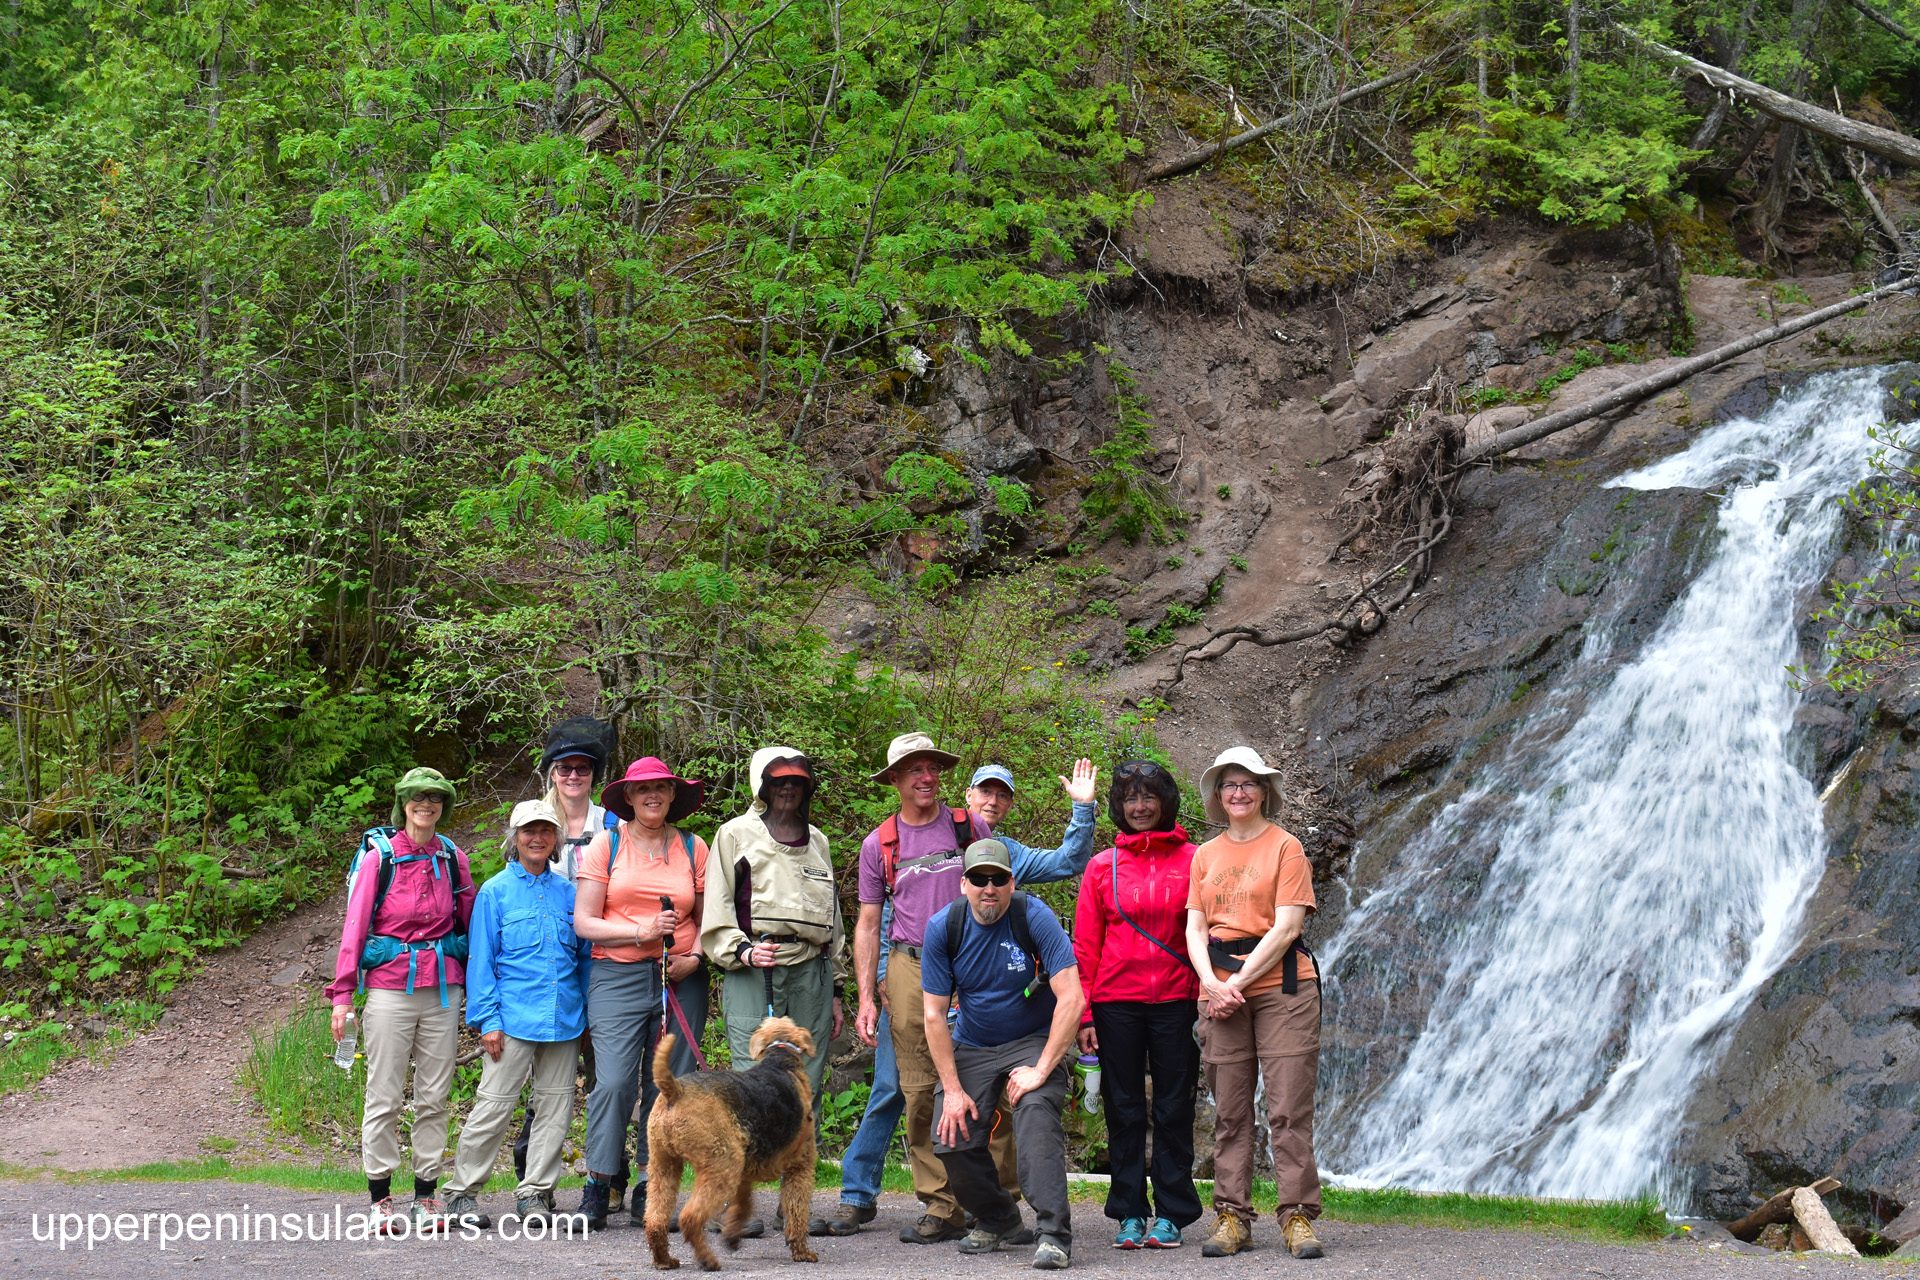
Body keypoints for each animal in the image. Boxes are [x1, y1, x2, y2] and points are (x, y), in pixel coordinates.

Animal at [645, 1013, 817, 1266]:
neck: (780, 1059)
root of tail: (675, 1090)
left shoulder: (744, 1175)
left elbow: (743, 1206)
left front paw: (733, 1237)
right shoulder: (800, 1168)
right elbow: (797, 1214)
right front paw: (802, 1252)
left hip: (664, 1164)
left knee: (655, 1220)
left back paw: (665, 1260)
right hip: (722, 1165)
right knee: (690, 1217)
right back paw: (707, 1259)